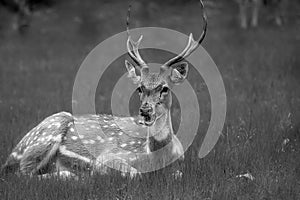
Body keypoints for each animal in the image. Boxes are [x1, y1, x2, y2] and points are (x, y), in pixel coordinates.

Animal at [2, 0, 207, 178]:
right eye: (139, 88)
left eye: (164, 88)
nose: (145, 110)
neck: (158, 158)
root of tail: (9, 157)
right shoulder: (108, 157)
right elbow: (135, 174)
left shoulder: (180, 166)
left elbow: (177, 175)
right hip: (47, 132)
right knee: (23, 174)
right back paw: (70, 175)